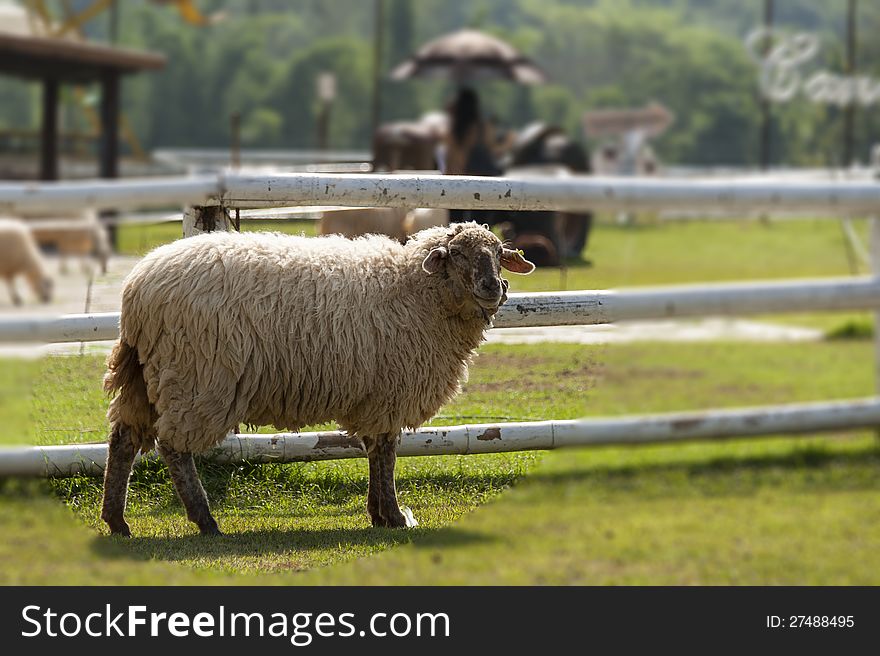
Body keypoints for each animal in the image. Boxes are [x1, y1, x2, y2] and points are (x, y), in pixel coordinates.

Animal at [99, 223, 532, 536]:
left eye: (498, 253)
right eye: (457, 254)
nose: (493, 287)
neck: (416, 289)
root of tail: (137, 289)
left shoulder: (375, 394)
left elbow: (375, 451)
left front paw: (377, 513)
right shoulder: (390, 390)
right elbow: (387, 452)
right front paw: (393, 516)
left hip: (146, 376)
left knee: (123, 441)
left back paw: (117, 521)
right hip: (195, 376)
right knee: (173, 448)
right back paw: (205, 521)